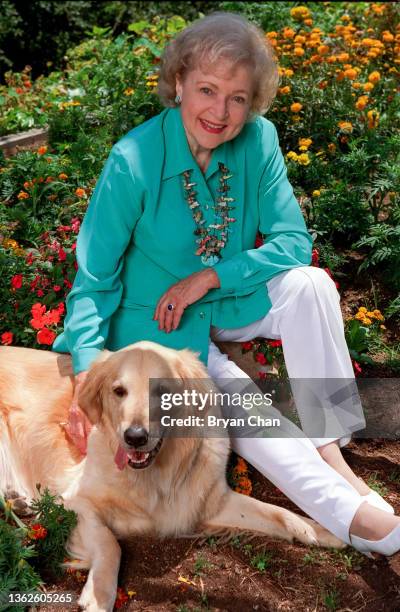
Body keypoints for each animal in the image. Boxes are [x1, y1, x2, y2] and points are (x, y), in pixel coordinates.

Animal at [0, 344, 344, 612]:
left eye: (162, 391)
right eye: (119, 391)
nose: (134, 437)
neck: (155, 476)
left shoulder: (209, 501)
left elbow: (277, 513)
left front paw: (320, 529)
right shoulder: (72, 501)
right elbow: (110, 543)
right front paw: (99, 595)